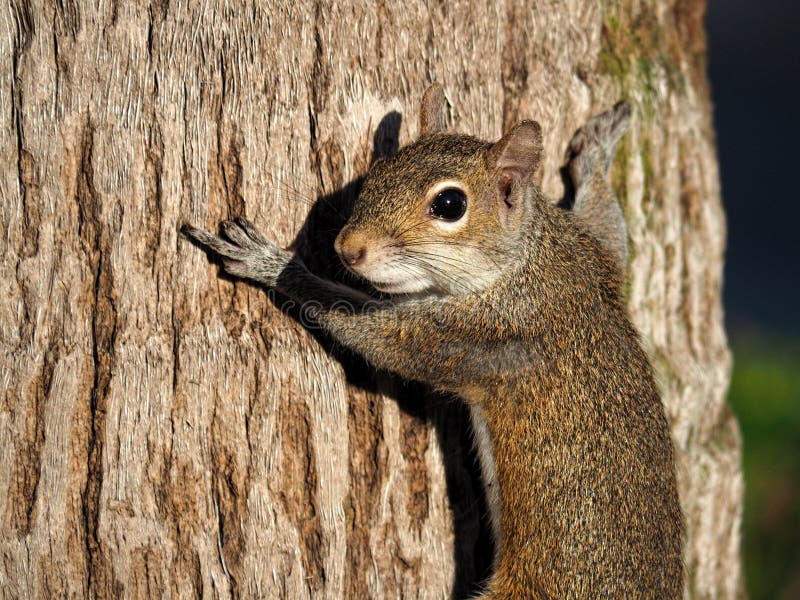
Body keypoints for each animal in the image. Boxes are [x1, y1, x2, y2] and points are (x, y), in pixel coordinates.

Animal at [181, 85, 680, 600]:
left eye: (450, 205)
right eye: (381, 170)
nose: (347, 249)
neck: (527, 259)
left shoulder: (478, 333)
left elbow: (377, 335)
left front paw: (272, 264)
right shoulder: (596, 254)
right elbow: (611, 232)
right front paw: (598, 150)